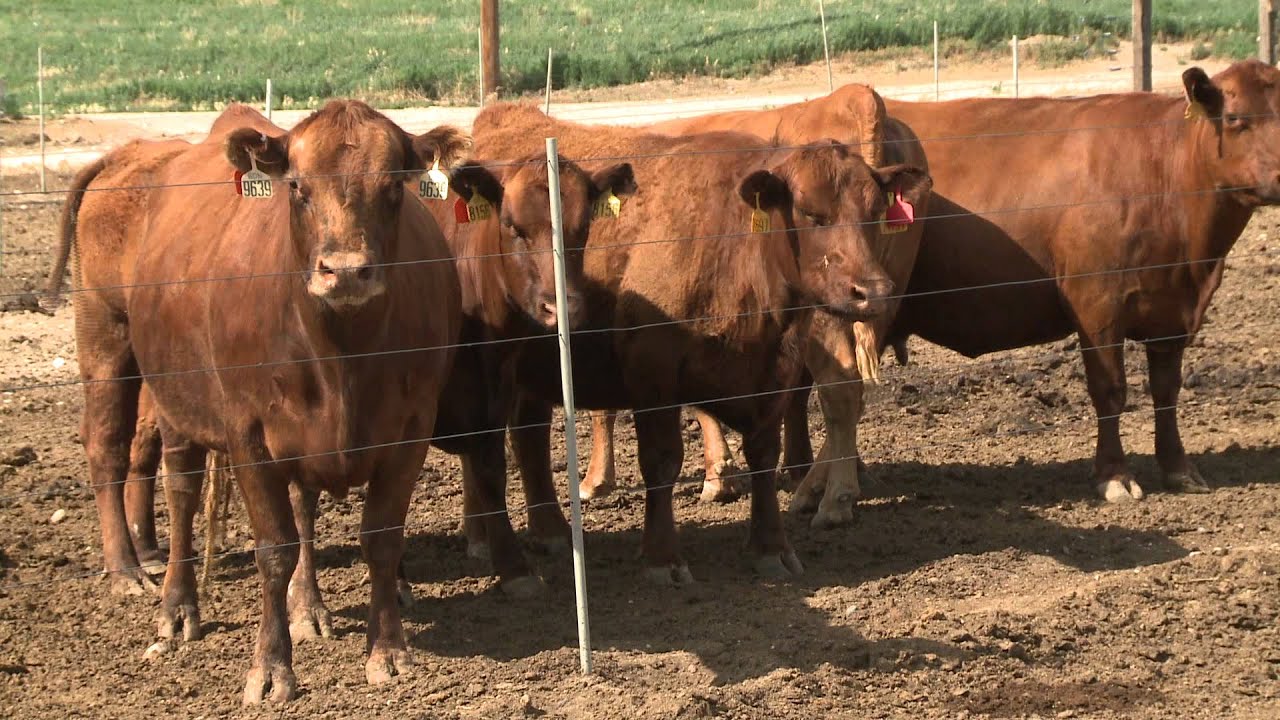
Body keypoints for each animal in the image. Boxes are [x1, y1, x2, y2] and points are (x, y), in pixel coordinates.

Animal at [122, 100, 467, 702]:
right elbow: (274, 549)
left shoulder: (411, 430)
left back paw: (309, 607)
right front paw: (270, 667)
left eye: (393, 189)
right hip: (173, 407)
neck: (340, 356)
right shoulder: (248, 435)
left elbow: (380, 538)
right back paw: (178, 607)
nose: (346, 271)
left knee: (305, 508)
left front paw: (388, 651)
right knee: (182, 493)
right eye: (298, 187)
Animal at [876, 60, 1280, 502]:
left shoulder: (1171, 314)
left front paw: (1179, 469)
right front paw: (1114, 475)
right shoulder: (1098, 305)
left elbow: (1166, 392)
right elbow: (1110, 390)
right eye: (1235, 118)